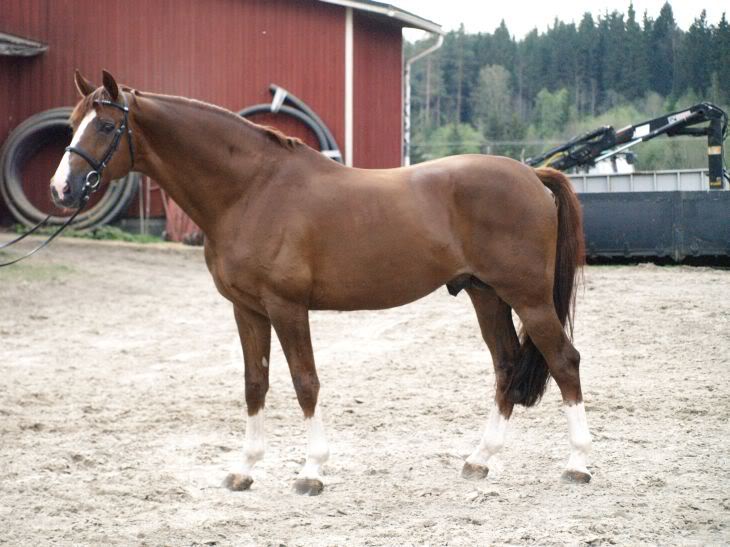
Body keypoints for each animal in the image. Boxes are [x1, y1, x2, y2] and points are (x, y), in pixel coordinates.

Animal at [50, 70, 592, 495]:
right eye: (70, 125)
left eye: (105, 125)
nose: (62, 189)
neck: (251, 191)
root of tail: (533, 175)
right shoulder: (246, 309)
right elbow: (255, 383)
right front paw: (244, 469)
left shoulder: (286, 307)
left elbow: (304, 382)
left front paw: (311, 471)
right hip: (486, 296)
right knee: (506, 366)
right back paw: (480, 459)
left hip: (528, 299)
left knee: (564, 361)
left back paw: (578, 464)